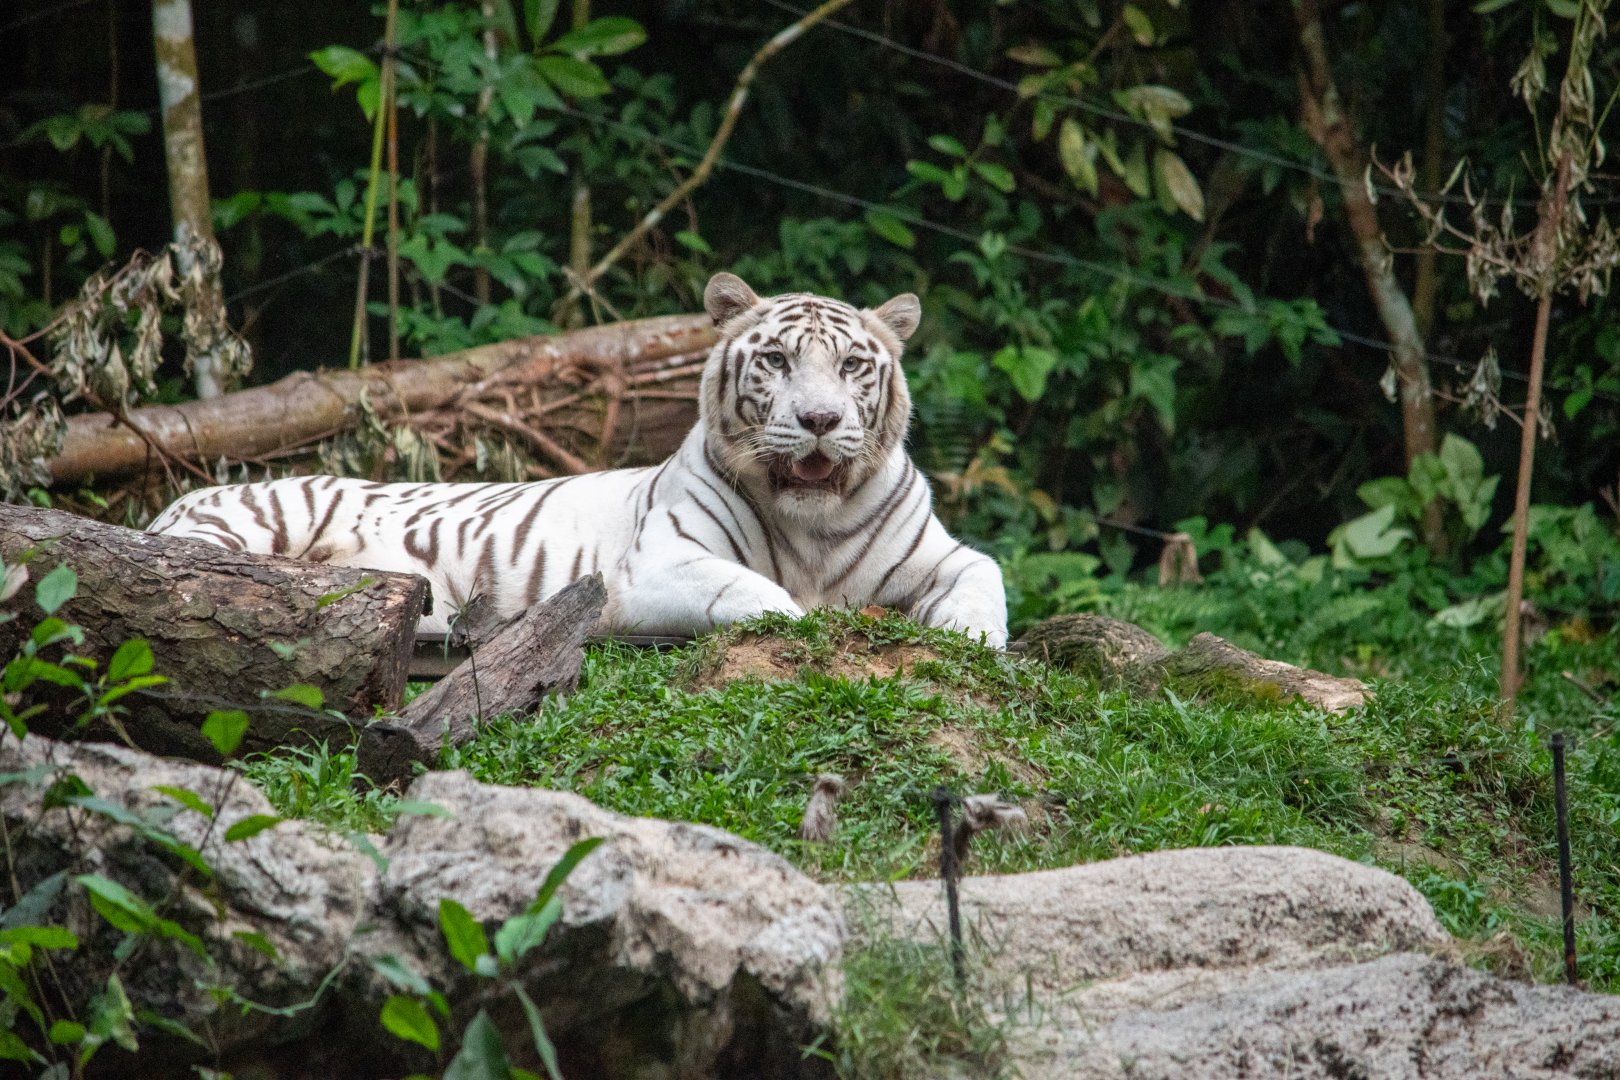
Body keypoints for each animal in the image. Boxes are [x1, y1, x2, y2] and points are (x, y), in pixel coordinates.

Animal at [148, 272, 1009, 648]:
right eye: (776, 361)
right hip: (240, 528)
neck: (814, 526)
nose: (821, 420)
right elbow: (769, 600)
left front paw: (965, 635)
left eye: (853, 367)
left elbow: (986, 579)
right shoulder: (661, 563)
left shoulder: (942, 552)